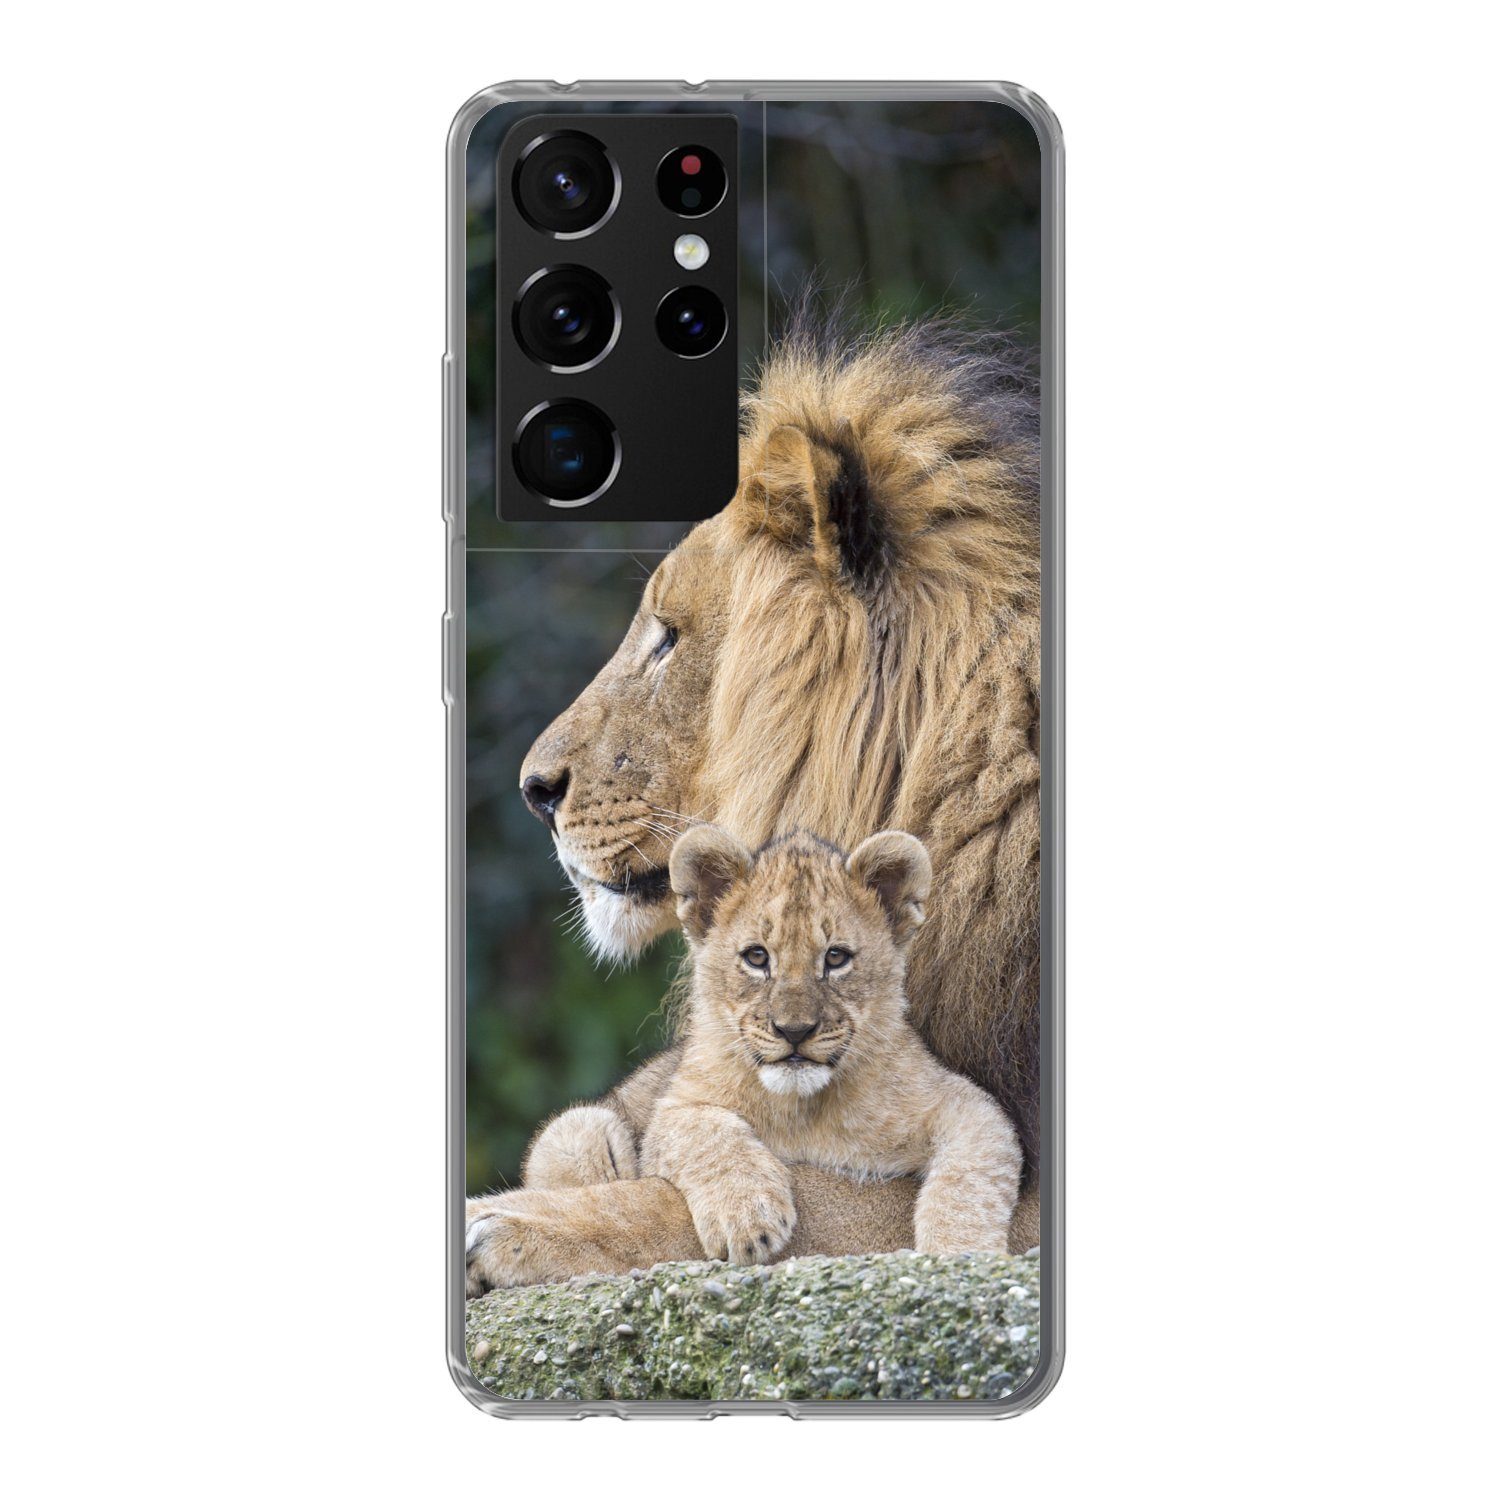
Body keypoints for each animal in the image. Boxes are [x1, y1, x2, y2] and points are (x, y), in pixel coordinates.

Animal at [641, 825, 1023, 1264]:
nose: (794, 1031)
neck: (803, 1112)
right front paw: (749, 1216)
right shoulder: (672, 1109)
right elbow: (702, 1128)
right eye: (756, 956)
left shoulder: (967, 1105)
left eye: (836, 957)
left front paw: (960, 1255)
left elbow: (968, 1183)